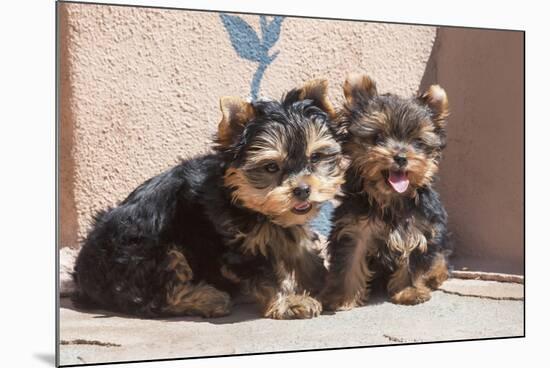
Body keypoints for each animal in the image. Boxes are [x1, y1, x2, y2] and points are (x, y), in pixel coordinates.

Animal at [72, 80, 344, 320]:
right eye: (271, 167)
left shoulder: (283, 226)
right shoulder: (236, 244)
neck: (240, 196)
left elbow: (302, 250)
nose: (303, 190)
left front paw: (328, 284)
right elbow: (266, 274)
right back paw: (209, 299)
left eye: (315, 158)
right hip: (144, 254)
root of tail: (82, 277)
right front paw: (290, 301)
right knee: (157, 296)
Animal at [324, 73, 452, 310]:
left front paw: (409, 291)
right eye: (377, 138)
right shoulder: (354, 229)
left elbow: (413, 261)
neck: (390, 197)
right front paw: (342, 297)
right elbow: (349, 262)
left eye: (417, 142)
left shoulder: (418, 228)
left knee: (440, 258)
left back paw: (436, 276)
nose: (401, 157)